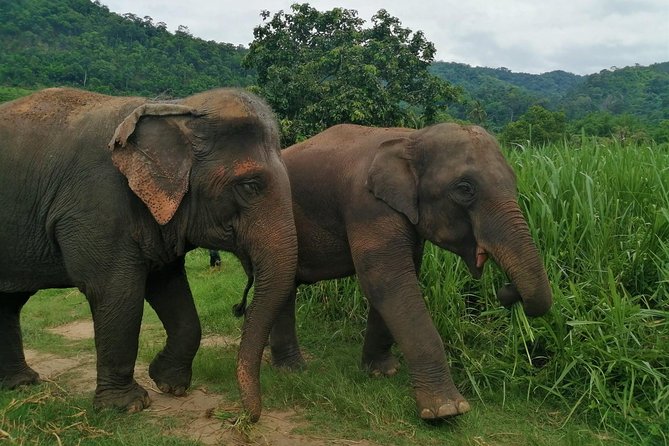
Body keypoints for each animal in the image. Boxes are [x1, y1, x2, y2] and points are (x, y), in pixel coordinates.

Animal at [0, 87, 297, 421]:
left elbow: (168, 285)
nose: (245, 417)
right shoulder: (97, 204)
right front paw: (127, 406)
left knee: (8, 302)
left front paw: (169, 384)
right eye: (249, 186)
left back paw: (22, 384)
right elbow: (116, 291)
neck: (179, 108)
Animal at [234, 122, 552, 420]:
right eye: (464, 189)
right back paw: (293, 370)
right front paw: (446, 410)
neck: (412, 137)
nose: (506, 291)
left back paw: (292, 368)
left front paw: (381, 373)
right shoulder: (367, 205)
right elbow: (388, 281)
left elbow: (395, 280)